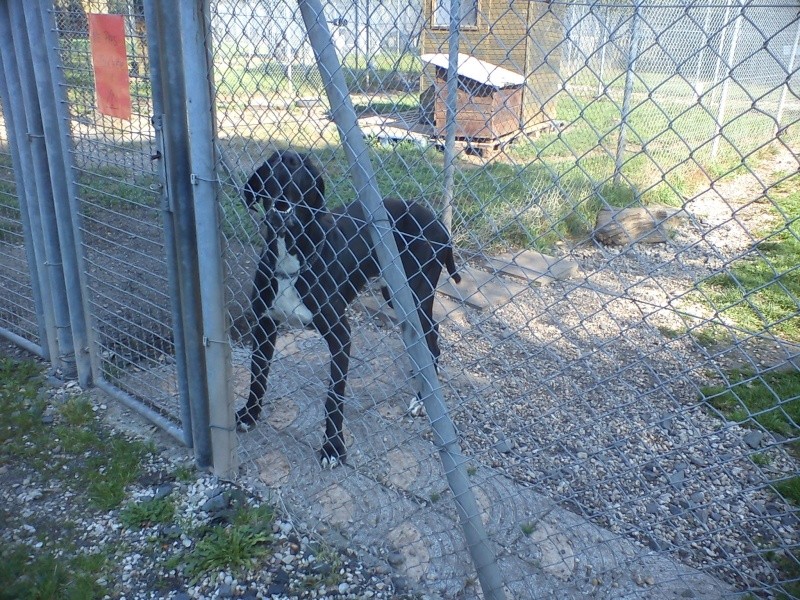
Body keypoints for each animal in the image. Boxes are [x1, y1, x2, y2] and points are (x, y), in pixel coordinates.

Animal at [238, 148, 460, 466]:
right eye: (269, 168)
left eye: (303, 170)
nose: (281, 205)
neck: (291, 257)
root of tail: (438, 222)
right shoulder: (264, 325)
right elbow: (257, 375)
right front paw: (249, 414)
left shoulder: (340, 336)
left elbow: (333, 397)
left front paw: (332, 447)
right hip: (394, 293)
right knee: (431, 330)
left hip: (414, 294)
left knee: (430, 334)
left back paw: (421, 397)